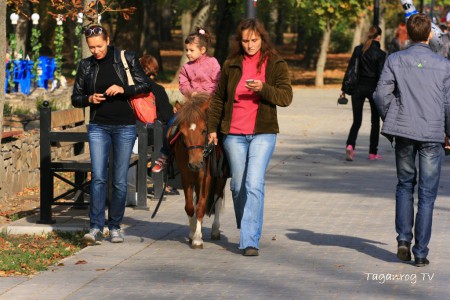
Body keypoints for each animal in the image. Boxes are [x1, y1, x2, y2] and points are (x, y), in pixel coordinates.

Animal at [171, 92, 230, 247]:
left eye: (204, 130)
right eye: (182, 133)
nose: (196, 164)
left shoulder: (205, 178)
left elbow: (201, 206)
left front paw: (197, 239)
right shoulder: (186, 177)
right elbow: (190, 207)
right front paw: (193, 233)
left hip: (219, 178)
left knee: (217, 198)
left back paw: (215, 230)